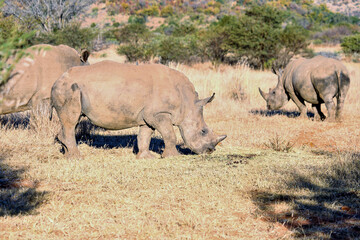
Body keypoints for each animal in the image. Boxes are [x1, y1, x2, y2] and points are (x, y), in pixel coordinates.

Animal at [50, 60, 226, 158]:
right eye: (203, 131)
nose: (209, 151)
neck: (188, 103)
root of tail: (57, 80)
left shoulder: (148, 116)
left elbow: (144, 136)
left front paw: (145, 157)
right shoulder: (159, 114)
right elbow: (170, 134)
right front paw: (173, 156)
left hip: (68, 88)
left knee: (70, 121)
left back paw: (67, 155)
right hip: (68, 88)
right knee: (71, 122)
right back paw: (77, 157)